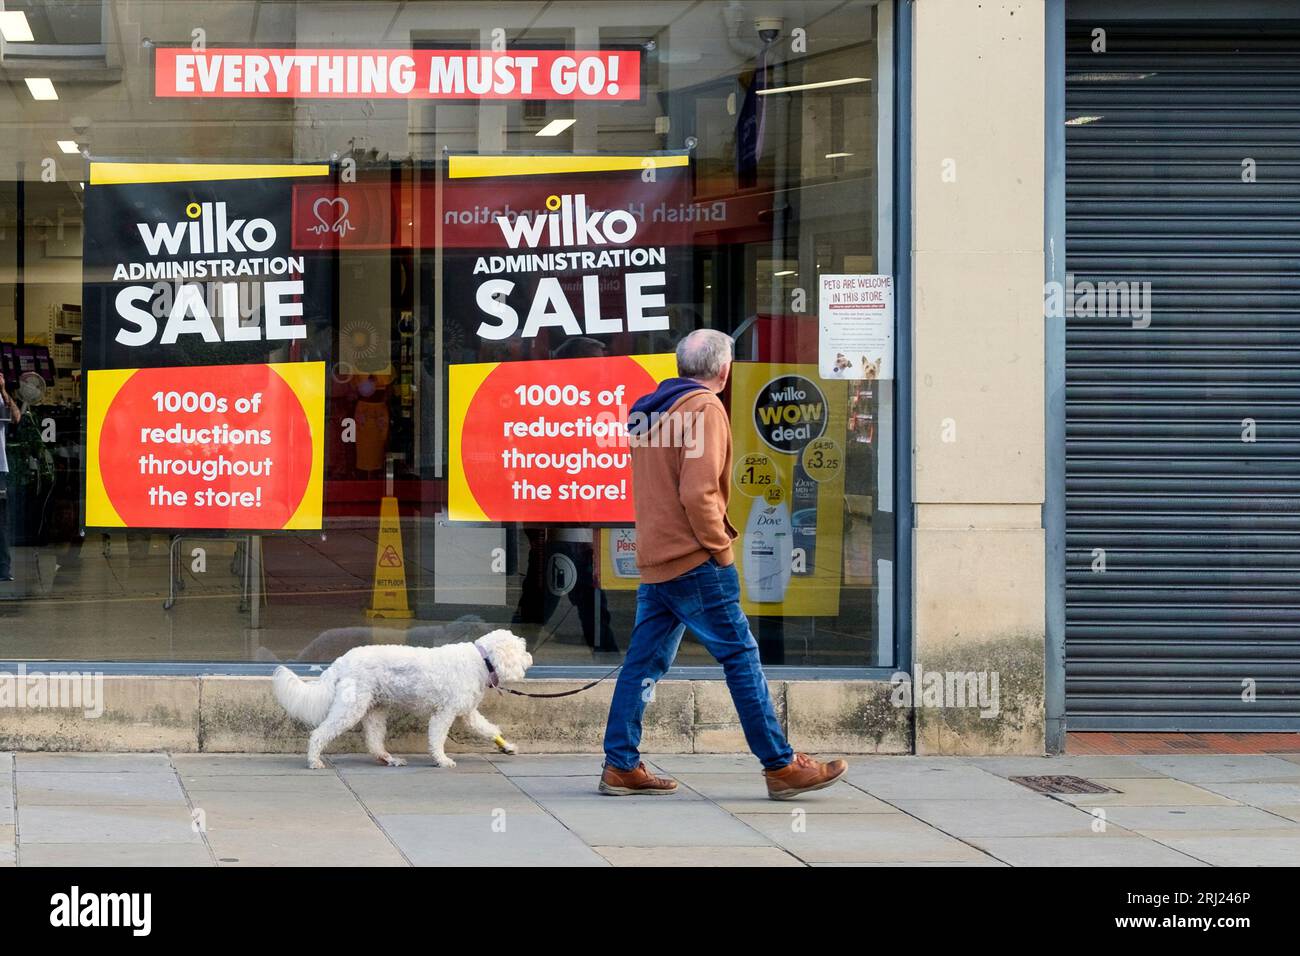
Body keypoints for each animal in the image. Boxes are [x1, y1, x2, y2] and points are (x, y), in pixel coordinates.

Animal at [271, 629, 530, 770]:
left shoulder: (468, 712)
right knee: (319, 734)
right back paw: (314, 761)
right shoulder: (444, 714)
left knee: (374, 743)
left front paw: (506, 746)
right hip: (351, 708)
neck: (481, 660)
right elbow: (437, 739)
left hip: (375, 711)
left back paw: (390, 759)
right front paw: (442, 760)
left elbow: (487, 729)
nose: (530, 658)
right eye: (521, 650)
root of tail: (342, 661)